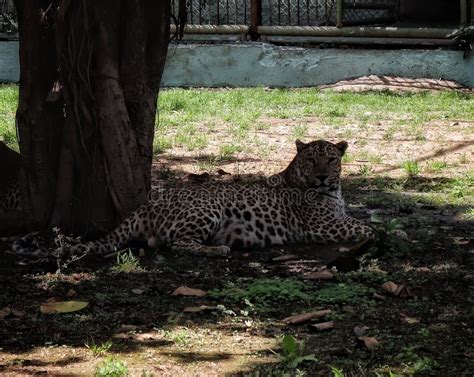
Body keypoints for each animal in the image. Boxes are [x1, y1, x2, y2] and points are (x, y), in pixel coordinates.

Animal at [78, 140, 374, 258]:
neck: (333, 190)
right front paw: (384, 232)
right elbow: (366, 227)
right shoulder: (323, 226)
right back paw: (218, 250)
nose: (322, 176)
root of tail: (147, 205)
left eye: (331, 160)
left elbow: (361, 220)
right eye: (311, 160)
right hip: (207, 208)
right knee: (177, 244)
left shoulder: (337, 218)